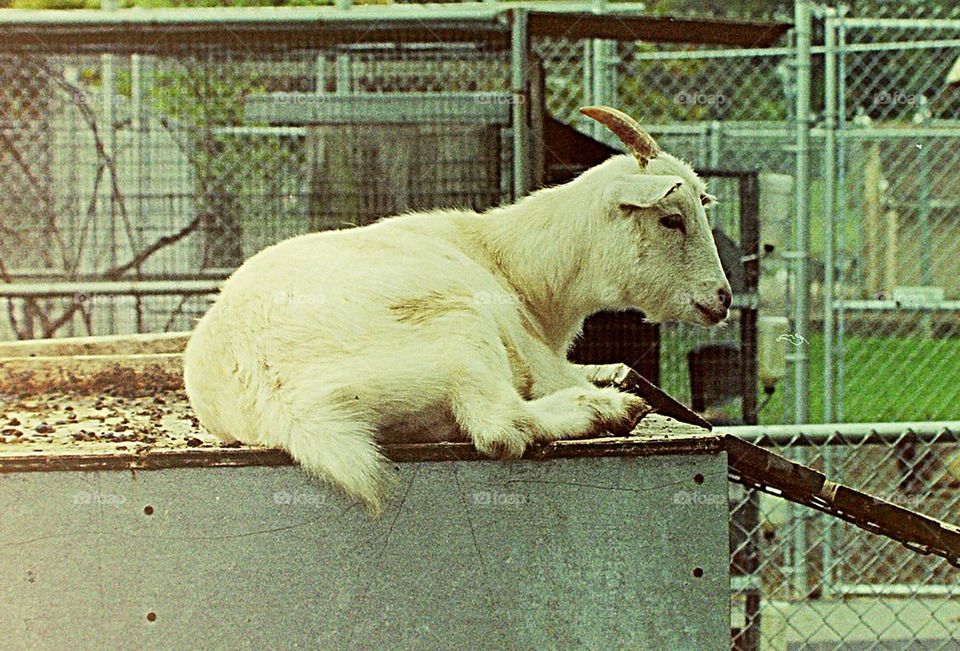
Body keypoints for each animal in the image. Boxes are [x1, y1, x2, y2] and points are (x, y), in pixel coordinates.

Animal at [184, 106, 732, 512]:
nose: (722, 299)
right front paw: (608, 391)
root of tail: (279, 391)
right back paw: (609, 411)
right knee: (500, 427)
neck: (510, 264)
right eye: (670, 219)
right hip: (459, 334)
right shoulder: (537, 360)